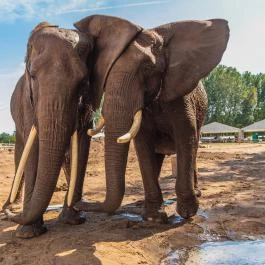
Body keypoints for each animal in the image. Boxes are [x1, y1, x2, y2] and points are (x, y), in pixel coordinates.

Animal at [3, 22, 94, 237]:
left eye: (83, 82)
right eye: (33, 76)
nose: (9, 214)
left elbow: (82, 144)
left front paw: (74, 220)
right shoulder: (27, 102)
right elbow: (34, 149)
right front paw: (28, 233)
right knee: (20, 153)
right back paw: (14, 206)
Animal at [72, 15, 229, 220]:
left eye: (147, 69)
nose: (78, 204)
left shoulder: (182, 95)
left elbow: (186, 138)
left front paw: (187, 213)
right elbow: (143, 144)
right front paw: (154, 217)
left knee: (194, 147)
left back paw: (197, 193)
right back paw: (144, 204)